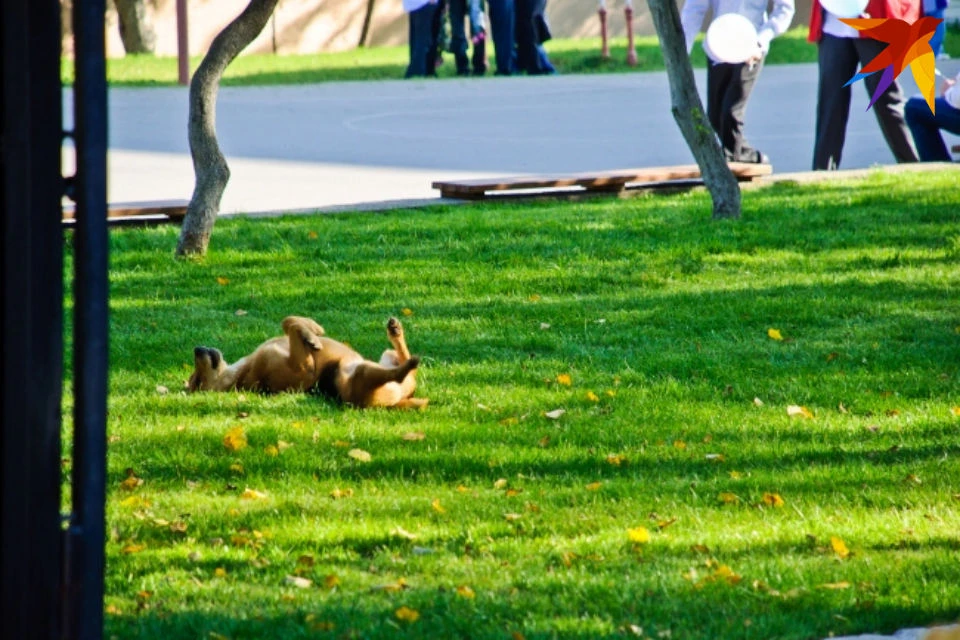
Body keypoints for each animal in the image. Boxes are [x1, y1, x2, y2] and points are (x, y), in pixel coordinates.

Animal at [186, 316, 426, 410]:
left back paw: (395, 331)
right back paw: (406, 365)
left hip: (386, 356)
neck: (241, 373)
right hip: (356, 376)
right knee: (396, 373)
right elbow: (292, 327)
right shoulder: (303, 368)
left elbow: (288, 322)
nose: (196, 349)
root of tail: (399, 401)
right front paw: (311, 336)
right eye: (196, 382)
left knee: (399, 355)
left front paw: (310, 328)